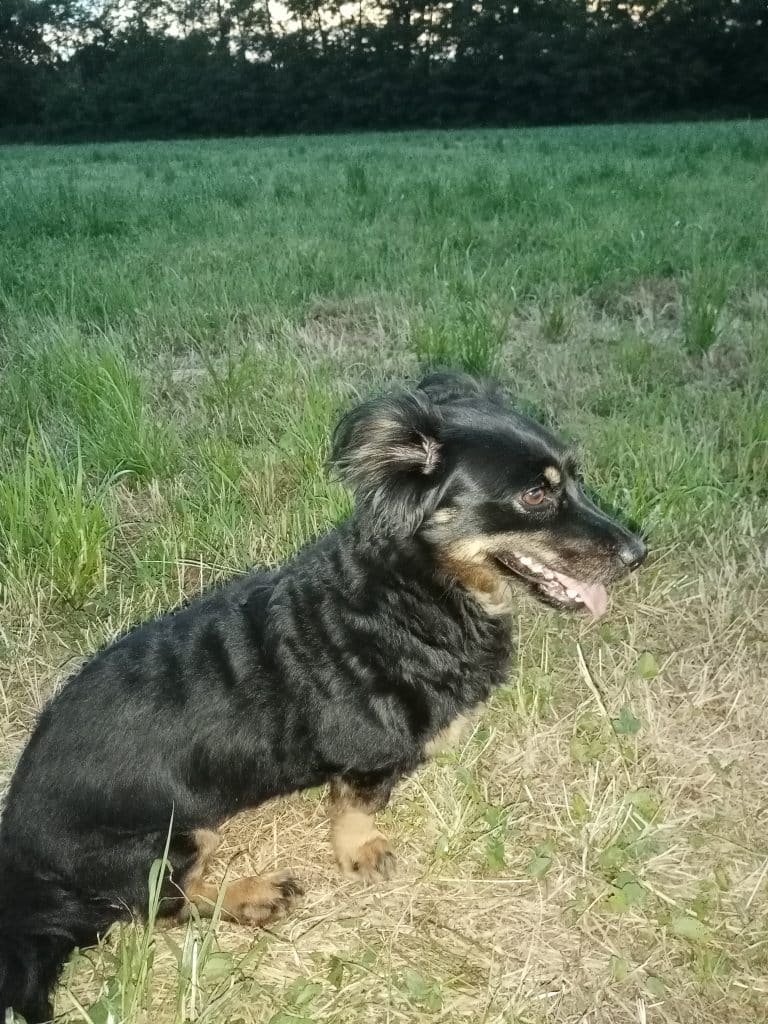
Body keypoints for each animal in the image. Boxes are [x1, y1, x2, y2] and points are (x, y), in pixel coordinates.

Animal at [0, 372, 646, 1022]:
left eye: (576, 478)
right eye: (536, 496)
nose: (639, 554)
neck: (414, 596)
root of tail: (24, 870)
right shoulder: (365, 757)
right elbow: (356, 809)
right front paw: (362, 853)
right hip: (176, 837)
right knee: (164, 904)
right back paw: (253, 895)